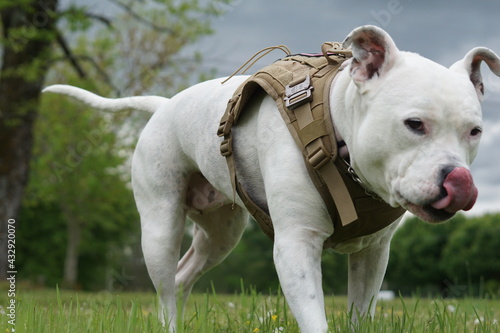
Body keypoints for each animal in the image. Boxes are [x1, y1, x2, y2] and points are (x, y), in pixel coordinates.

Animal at [45, 26, 500, 332]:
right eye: (414, 124)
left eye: (475, 131)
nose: (459, 179)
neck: (336, 132)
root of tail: (164, 105)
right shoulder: (296, 246)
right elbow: (315, 317)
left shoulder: (373, 255)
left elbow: (360, 311)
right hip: (159, 226)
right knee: (166, 288)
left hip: (220, 234)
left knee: (183, 274)